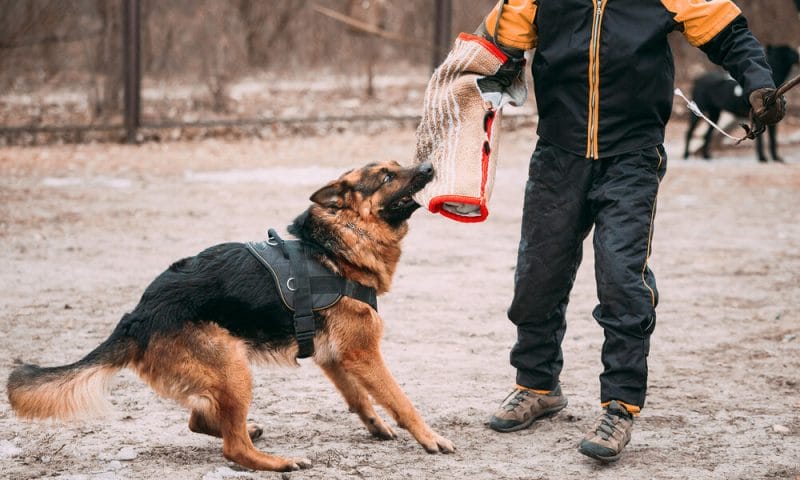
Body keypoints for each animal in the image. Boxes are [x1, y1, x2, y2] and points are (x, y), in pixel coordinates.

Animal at [6, 160, 454, 472]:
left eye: (399, 166)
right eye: (386, 176)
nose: (429, 168)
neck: (335, 245)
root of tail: (139, 314)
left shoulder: (334, 357)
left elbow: (359, 397)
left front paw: (377, 427)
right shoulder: (364, 354)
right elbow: (399, 398)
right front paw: (430, 438)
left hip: (223, 372)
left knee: (199, 420)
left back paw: (245, 429)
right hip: (234, 366)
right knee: (232, 446)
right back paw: (277, 461)